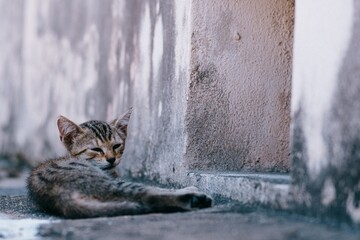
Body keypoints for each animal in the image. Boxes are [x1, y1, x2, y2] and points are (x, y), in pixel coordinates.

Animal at [28, 109, 214, 218]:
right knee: (147, 195)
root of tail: (58, 197)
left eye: (116, 146)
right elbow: (160, 188)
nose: (111, 159)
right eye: (96, 149)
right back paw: (194, 197)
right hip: (112, 184)